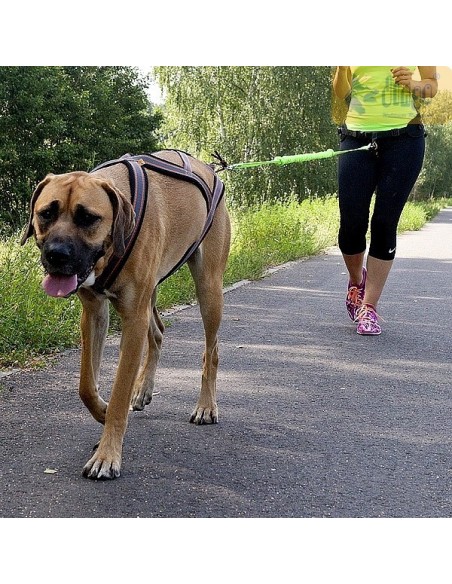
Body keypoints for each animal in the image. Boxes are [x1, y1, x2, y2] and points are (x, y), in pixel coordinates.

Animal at [21, 151, 231, 480]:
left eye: (88, 218)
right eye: (46, 213)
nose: (56, 255)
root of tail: (209, 168)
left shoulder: (133, 320)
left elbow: (119, 390)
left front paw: (107, 455)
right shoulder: (94, 313)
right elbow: (86, 385)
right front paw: (102, 410)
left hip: (208, 287)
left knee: (212, 349)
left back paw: (206, 406)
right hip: (152, 292)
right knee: (157, 332)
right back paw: (143, 389)